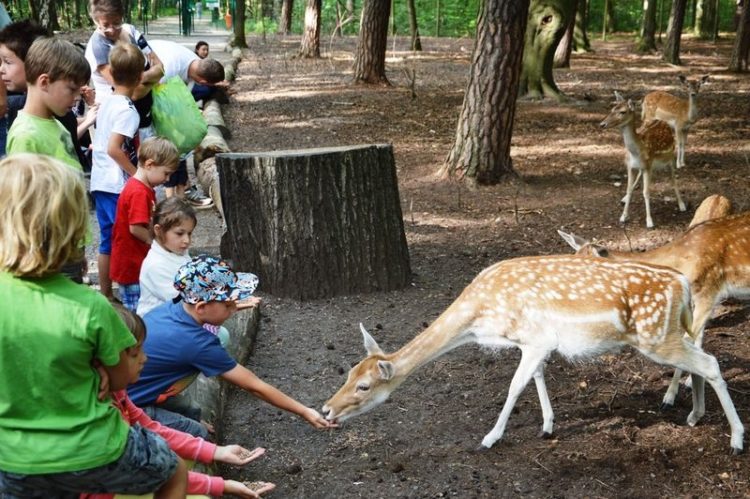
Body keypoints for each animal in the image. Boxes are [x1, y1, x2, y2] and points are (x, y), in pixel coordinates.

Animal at [322, 256, 748, 456]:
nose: (326, 409)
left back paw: (736, 439)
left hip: (655, 336)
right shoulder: (533, 342)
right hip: (671, 332)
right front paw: (547, 425)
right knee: (703, 355)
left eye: (363, 386)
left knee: (710, 362)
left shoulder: (536, 338)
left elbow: (515, 386)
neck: (481, 319)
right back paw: (694, 415)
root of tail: (683, 285)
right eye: (347, 373)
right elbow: (538, 376)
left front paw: (490, 437)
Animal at [556, 211, 750, 410]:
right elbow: (697, 337)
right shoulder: (701, 297)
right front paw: (690, 381)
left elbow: (687, 339)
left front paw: (669, 397)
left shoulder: (709, 290)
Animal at [604, 92, 692, 229]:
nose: (602, 124)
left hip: (669, 158)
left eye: (623, 112)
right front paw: (623, 216)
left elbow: (646, 192)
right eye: (612, 108)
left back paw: (682, 205)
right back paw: (624, 199)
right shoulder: (631, 166)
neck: (636, 152)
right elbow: (629, 189)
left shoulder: (647, 166)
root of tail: (662, 121)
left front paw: (649, 221)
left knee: (673, 179)